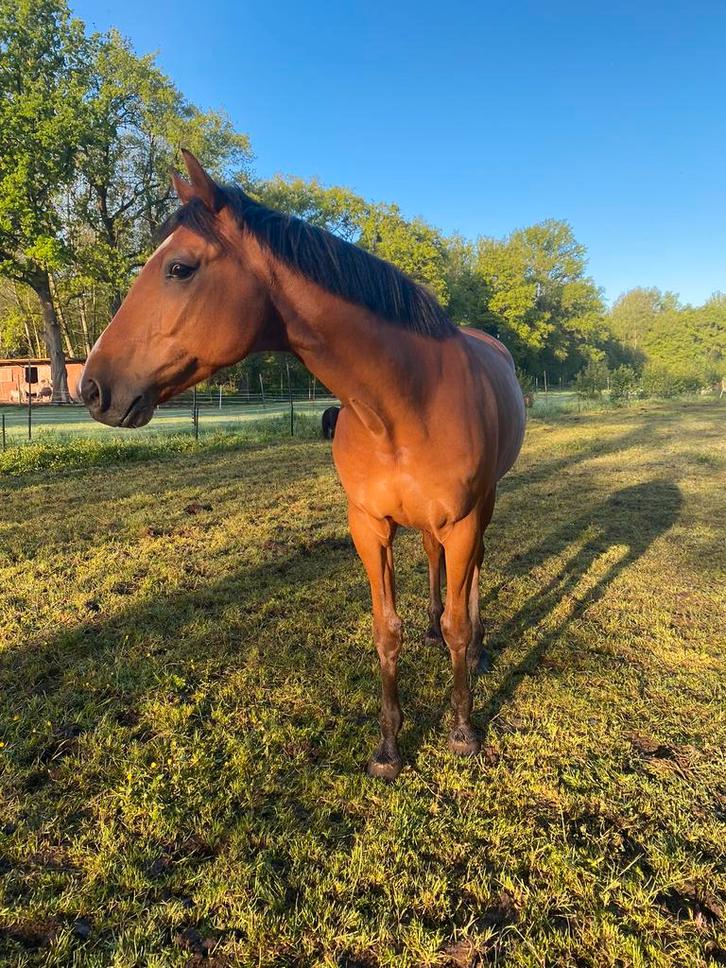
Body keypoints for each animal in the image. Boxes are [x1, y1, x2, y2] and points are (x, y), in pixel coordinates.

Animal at [79, 151, 526, 780]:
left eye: (179, 268)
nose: (92, 388)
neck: (403, 405)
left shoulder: (461, 520)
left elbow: (458, 624)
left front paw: (462, 730)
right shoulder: (369, 526)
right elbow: (387, 631)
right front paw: (388, 747)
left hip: (482, 509)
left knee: (475, 574)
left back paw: (481, 648)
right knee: (434, 564)